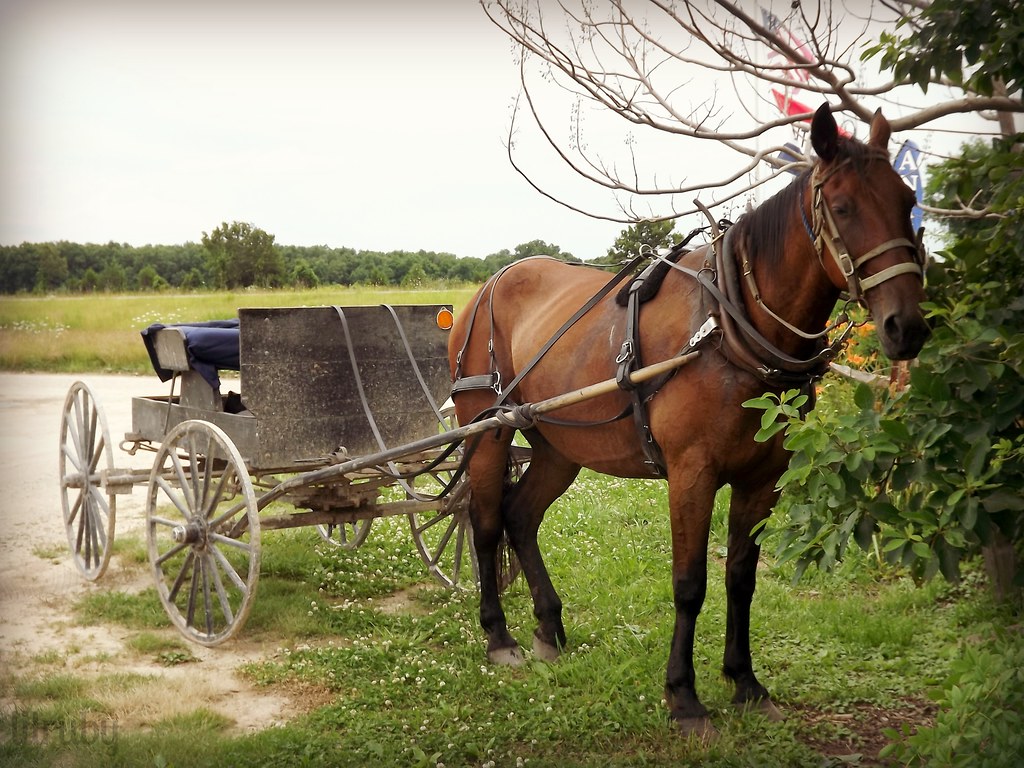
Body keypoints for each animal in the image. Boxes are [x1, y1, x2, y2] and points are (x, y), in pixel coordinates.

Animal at [447, 103, 930, 739]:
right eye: (844, 206)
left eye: (906, 200)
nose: (907, 327)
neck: (728, 328)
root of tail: (489, 285)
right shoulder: (691, 473)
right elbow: (689, 584)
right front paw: (684, 697)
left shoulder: (763, 479)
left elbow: (741, 579)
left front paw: (745, 682)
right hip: (486, 431)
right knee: (484, 523)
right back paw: (499, 637)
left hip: (559, 446)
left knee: (520, 517)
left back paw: (549, 628)